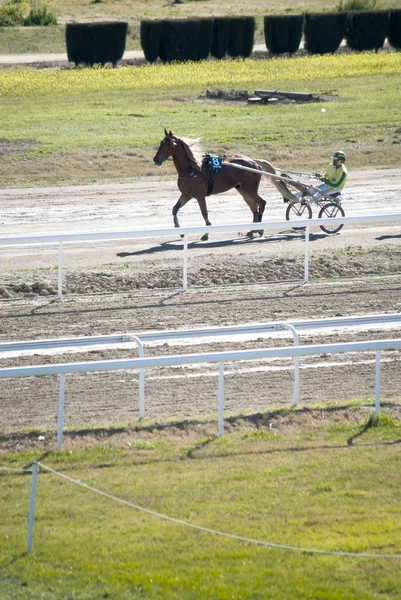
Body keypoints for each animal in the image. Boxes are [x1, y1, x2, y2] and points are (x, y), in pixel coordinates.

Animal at [153, 129, 288, 241]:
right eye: (161, 142)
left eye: (168, 144)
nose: (156, 159)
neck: (192, 171)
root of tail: (254, 162)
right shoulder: (186, 195)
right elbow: (174, 209)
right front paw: (179, 230)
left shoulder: (199, 195)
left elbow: (204, 213)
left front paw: (206, 233)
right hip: (242, 190)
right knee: (254, 207)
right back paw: (252, 230)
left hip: (250, 189)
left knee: (261, 203)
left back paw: (258, 229)